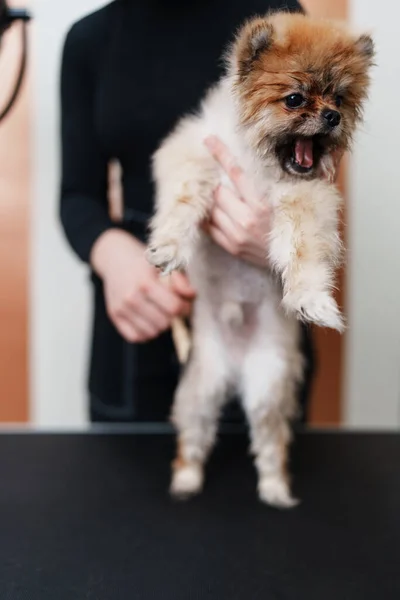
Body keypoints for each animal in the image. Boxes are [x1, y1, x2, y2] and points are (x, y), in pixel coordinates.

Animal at [147, 11, 376, 506]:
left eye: (341, 98)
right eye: (295, 99)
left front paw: (312, 299)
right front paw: (170, 246)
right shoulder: (195, 153)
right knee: (194, 437)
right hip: (199, 392)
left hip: (268, 388)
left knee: (269, 443)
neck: (259, 163)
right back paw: (187, 478)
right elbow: (182, 200)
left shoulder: (305, 196)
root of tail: (234, 370)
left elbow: (304, 249)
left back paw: (274, 488)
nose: (331, 116)